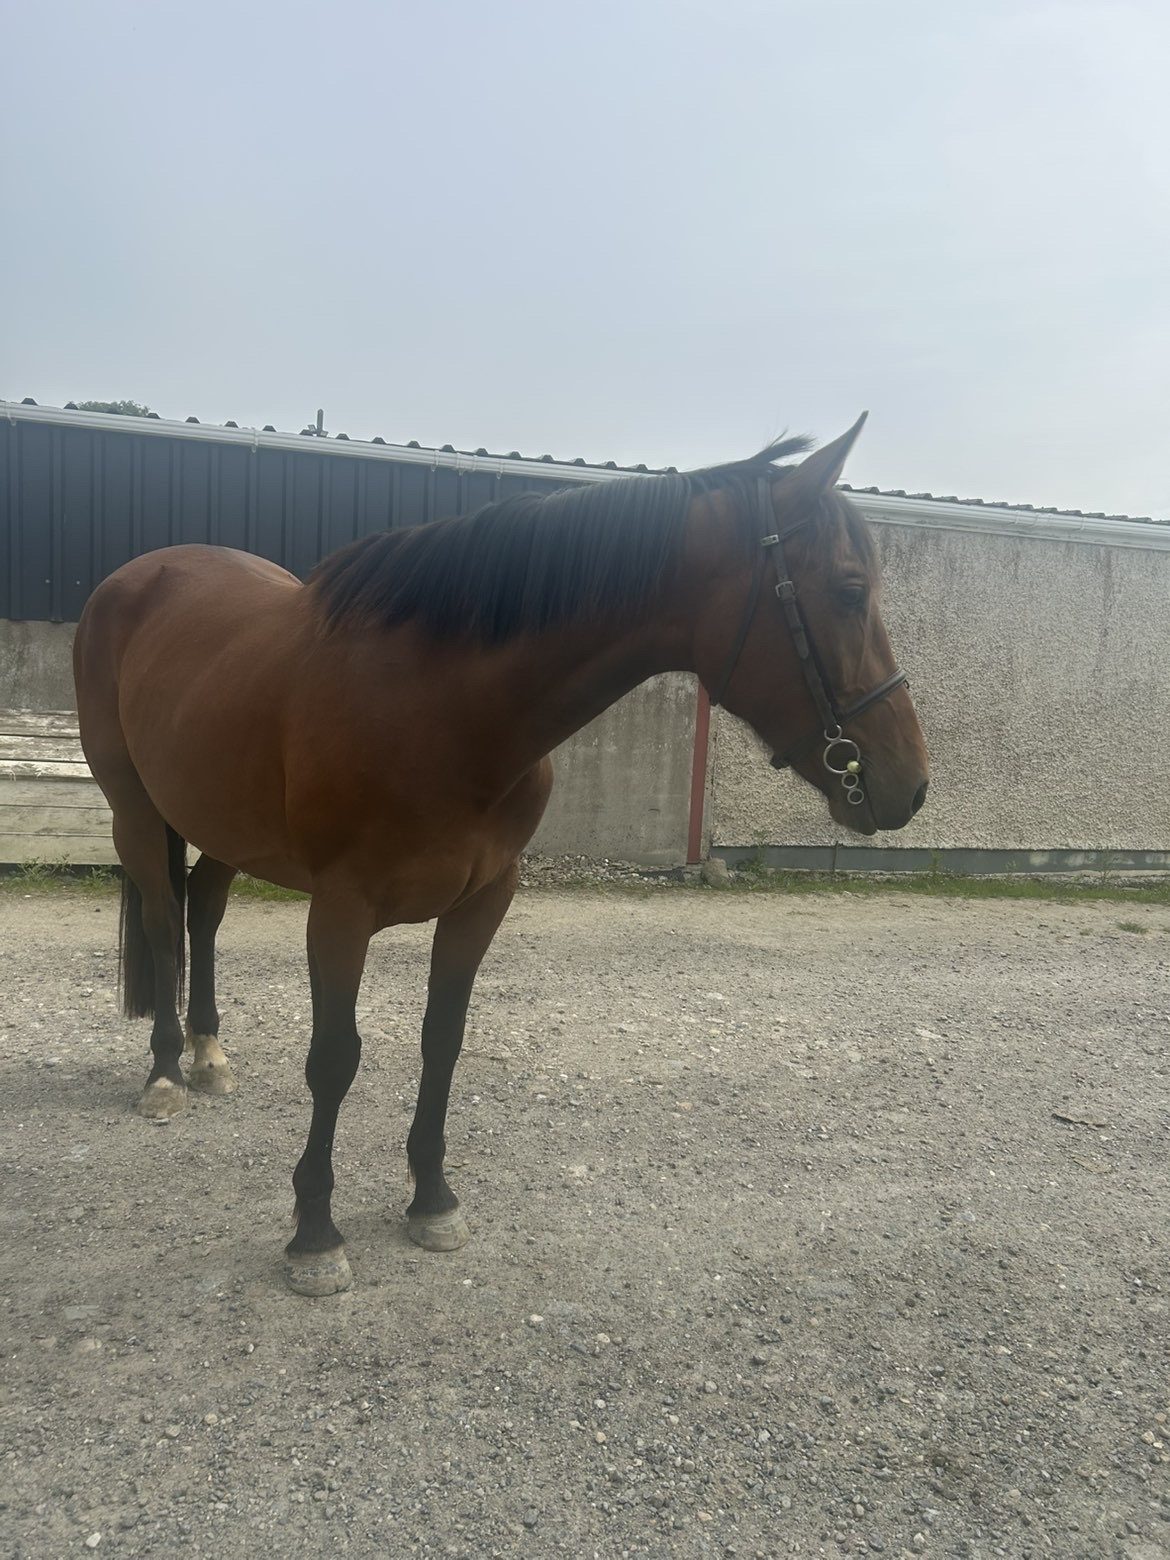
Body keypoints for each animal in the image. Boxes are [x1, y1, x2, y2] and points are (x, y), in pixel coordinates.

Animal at [73, 415, 929, 1296]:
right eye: (849, 590)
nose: (908, 783)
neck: (440, 706)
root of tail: (136, 577)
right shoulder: (339, 910)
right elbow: (335, 1059)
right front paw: (314, 1233)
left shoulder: (483, 900)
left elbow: (442, 1042)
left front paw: (432, 1200)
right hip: (135, 811)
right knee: (165, 925)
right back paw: (166, 1074)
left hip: (225, 823)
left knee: (204, 913)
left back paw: (208, 1054)